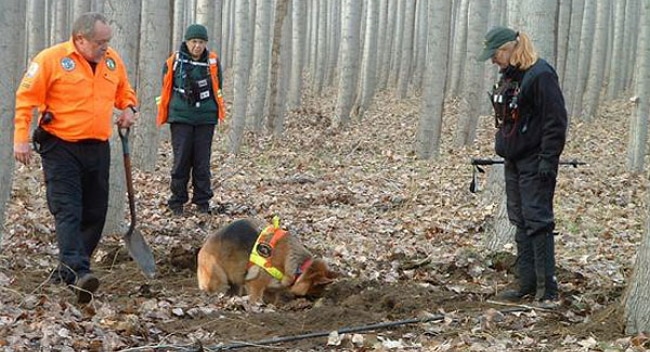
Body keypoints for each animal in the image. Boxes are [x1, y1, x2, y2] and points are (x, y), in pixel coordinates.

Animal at [196, 217, 336, 302]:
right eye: (314, 293)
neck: (300, 267)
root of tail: (202, 249)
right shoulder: (255, 285)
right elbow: (256, 299)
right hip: (219, 277)